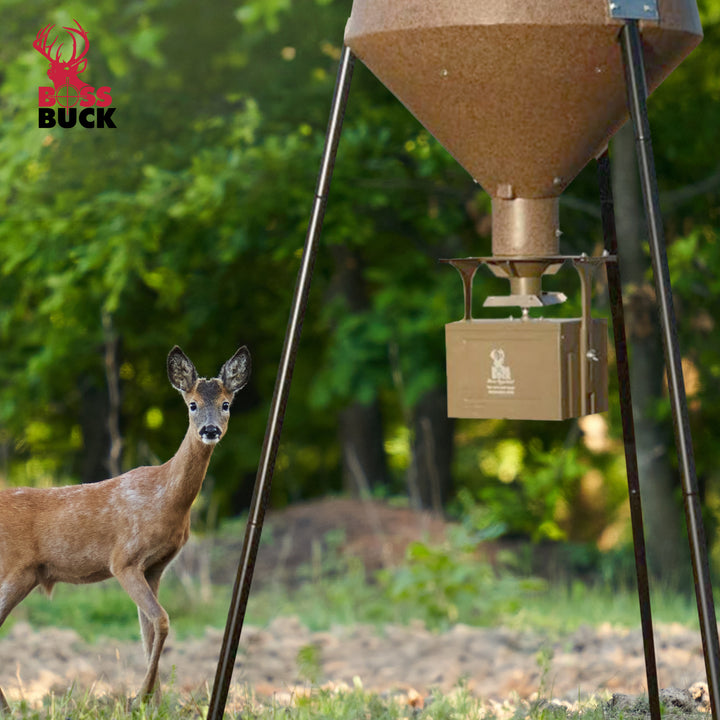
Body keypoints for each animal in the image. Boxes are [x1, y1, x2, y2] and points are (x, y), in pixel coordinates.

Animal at [0, 345, 251, 713]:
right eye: (191, 404)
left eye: (226, 404)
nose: (209, 430)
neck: (166, 499)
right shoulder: (124, 560)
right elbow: (162, 620)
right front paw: (140, 699)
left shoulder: (156, 567)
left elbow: (149, 630)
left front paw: (155, 706)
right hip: (15, 569)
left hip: (25, 574)